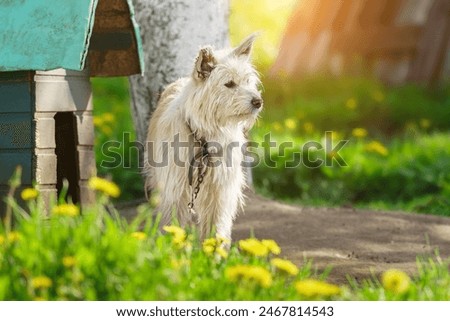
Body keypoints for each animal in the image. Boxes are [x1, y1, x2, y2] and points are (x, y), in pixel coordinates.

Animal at [144, 34, 264, 240]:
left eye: (248, 81)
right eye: (229, 84)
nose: (258, 102)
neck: (205, 137)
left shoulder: (220, 193)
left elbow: (215, 227)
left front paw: (213, 248)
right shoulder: (174, 191)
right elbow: (171, 223)